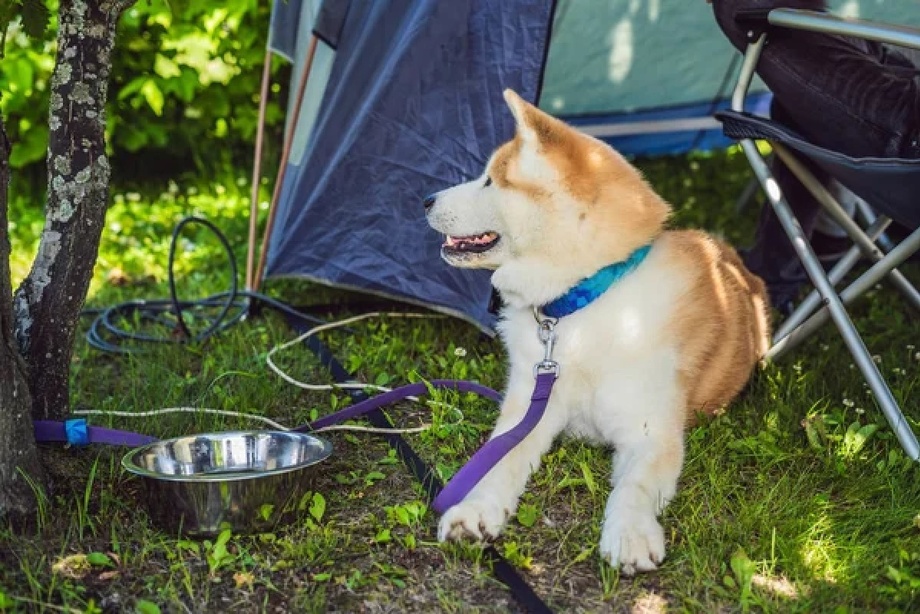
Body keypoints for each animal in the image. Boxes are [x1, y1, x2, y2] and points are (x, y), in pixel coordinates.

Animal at [428, 89, 772, 576]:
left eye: (490, 181)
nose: (425, 200)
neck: (581, 306)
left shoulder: (652, 435)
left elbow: (635, 487)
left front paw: (629, 534)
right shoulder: (528, 411)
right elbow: (497, 461)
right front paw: (474, 510)